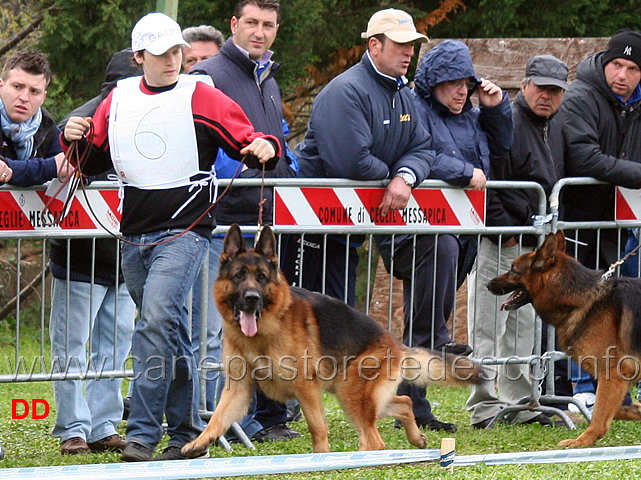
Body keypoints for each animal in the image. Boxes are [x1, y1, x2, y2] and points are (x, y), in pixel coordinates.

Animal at [182, 223, 482, 456]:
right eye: (238, 276)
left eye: (262, 277)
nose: (252, 298)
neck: (268, 328)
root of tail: (395, 343)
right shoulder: (238, 390)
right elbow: (217, 419)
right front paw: (198, 443)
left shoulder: (306, 389)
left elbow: (317, 428)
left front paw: (321, 457)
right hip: (353, 393)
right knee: (405, 403)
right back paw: (416, 438)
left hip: (351, 394)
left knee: (376, 438)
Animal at [488, 231, 640, 448]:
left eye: (513, 270)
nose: (488, 284)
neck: (582, 297)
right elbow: (611, 410)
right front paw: (634, 411)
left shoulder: (613, 373)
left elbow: (599, 415)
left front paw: (582, 440)